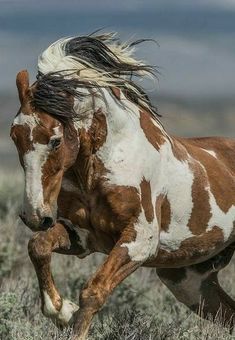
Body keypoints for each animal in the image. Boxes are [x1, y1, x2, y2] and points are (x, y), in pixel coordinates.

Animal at [10, 32, 235, 340]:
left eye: (55, 140)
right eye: (14, 136)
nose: (34, 215)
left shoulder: (140, 241)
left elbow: (93, 291)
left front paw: (69, 316)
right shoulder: (83, 236)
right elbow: (38, 246)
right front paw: (61, 311)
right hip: (189, 280)